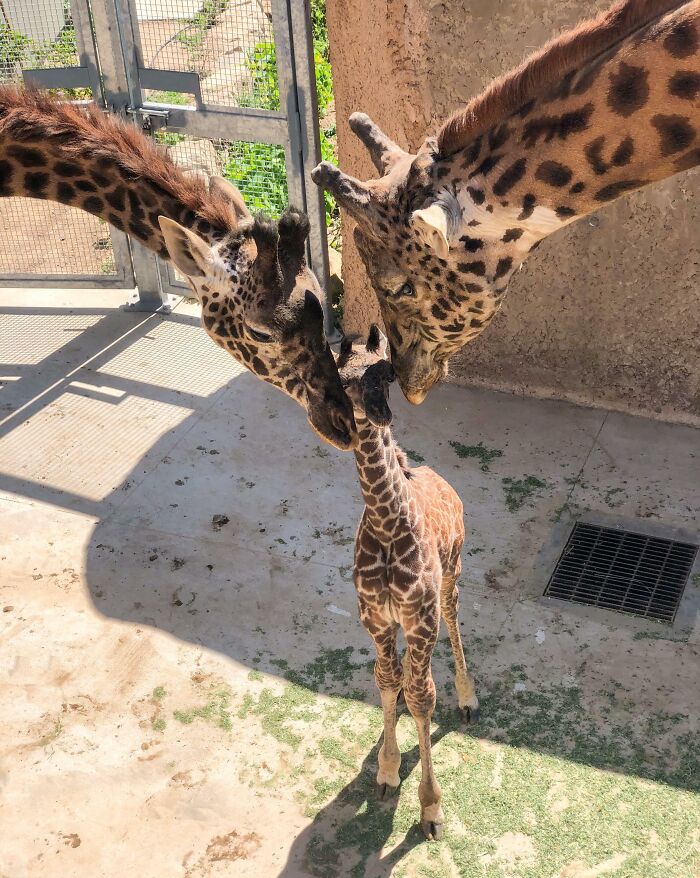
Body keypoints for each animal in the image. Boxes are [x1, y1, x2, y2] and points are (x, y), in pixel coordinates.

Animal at [336, 325, 479, 840]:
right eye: (344, 379)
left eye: (386, 374)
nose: (380, 413)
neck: (386, 524)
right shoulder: (376, 618)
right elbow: (385, 679)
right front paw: (386, 771)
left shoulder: (420, 619)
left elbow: (422, 699)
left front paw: (431, 810)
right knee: (400, 676)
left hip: (451, 577)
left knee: (453, 622)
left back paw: (468, 698)